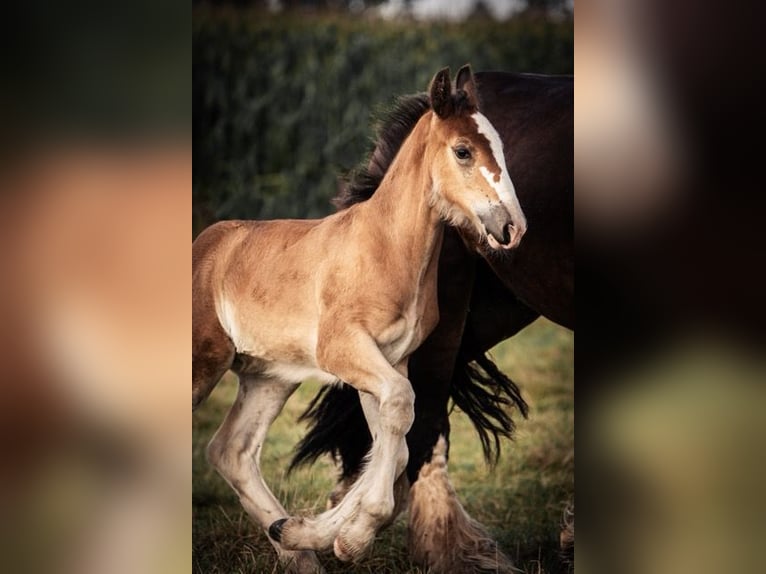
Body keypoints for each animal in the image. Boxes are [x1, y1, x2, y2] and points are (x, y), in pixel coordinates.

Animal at [192, 65, 528, 572]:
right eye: (463, 151)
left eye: (505, 147)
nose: (512, 227)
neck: (385, 246)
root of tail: (204, 246)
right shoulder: (345, 351)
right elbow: (402, 418)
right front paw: (348, 536)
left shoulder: (389, 361)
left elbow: (397, 441)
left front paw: (326, 534)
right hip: (202, 362)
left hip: (268, 375)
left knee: (231, 450)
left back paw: (296, 551)